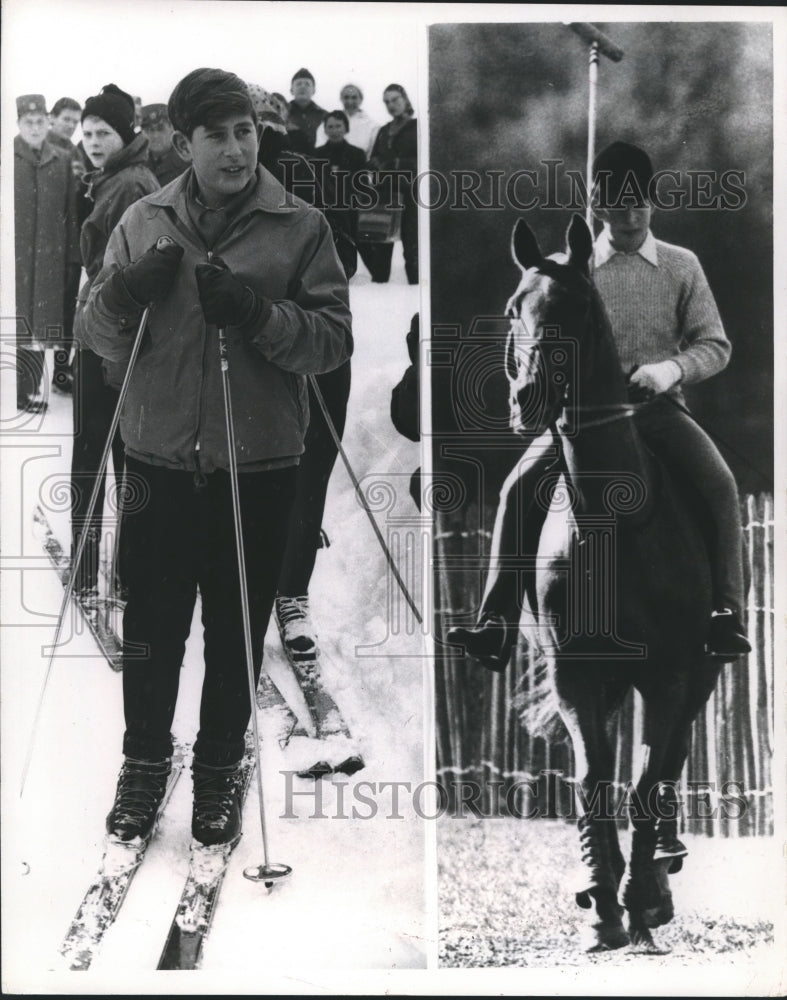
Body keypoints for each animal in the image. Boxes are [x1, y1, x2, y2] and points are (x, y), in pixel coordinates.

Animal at [508, 215, 724, 948]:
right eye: (514, 309)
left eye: (575, 307)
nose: (526, 401)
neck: (614, 520)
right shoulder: (578, 675)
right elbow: (594, 782)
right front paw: (602, 907)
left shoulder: (671, 674)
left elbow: (646, 781)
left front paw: (638, 905)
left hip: (697, 674)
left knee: (669, 763)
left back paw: (660, 878)